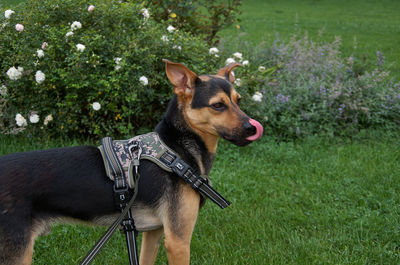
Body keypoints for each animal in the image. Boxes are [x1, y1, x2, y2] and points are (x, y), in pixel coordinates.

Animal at [0, 59, 264, 264]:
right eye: (217, 105)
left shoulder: (154, 233)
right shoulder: (178, 240)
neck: (175, 150)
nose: (252, 128)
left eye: (239, 100)